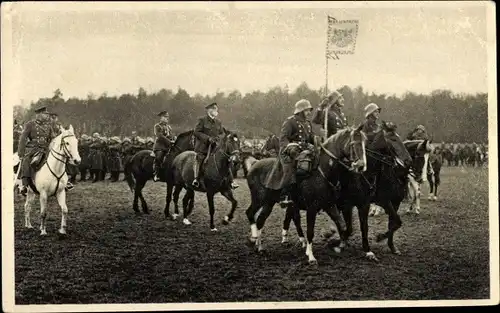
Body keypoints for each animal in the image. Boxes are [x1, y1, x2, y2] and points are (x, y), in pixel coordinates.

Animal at [246, 125, 368, 264]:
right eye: (354, 143)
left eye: (364, 143)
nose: (361, 166)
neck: (322, 172)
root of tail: (254, 164)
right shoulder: (311, 208)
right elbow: (309, 231)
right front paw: (311, 256)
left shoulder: (329, 205)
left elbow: (342, 225)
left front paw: (336, 243)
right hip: (258, 199)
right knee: (250, 213)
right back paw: (254, 238)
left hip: (269, 203)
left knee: (260, 220)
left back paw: (260, 247)